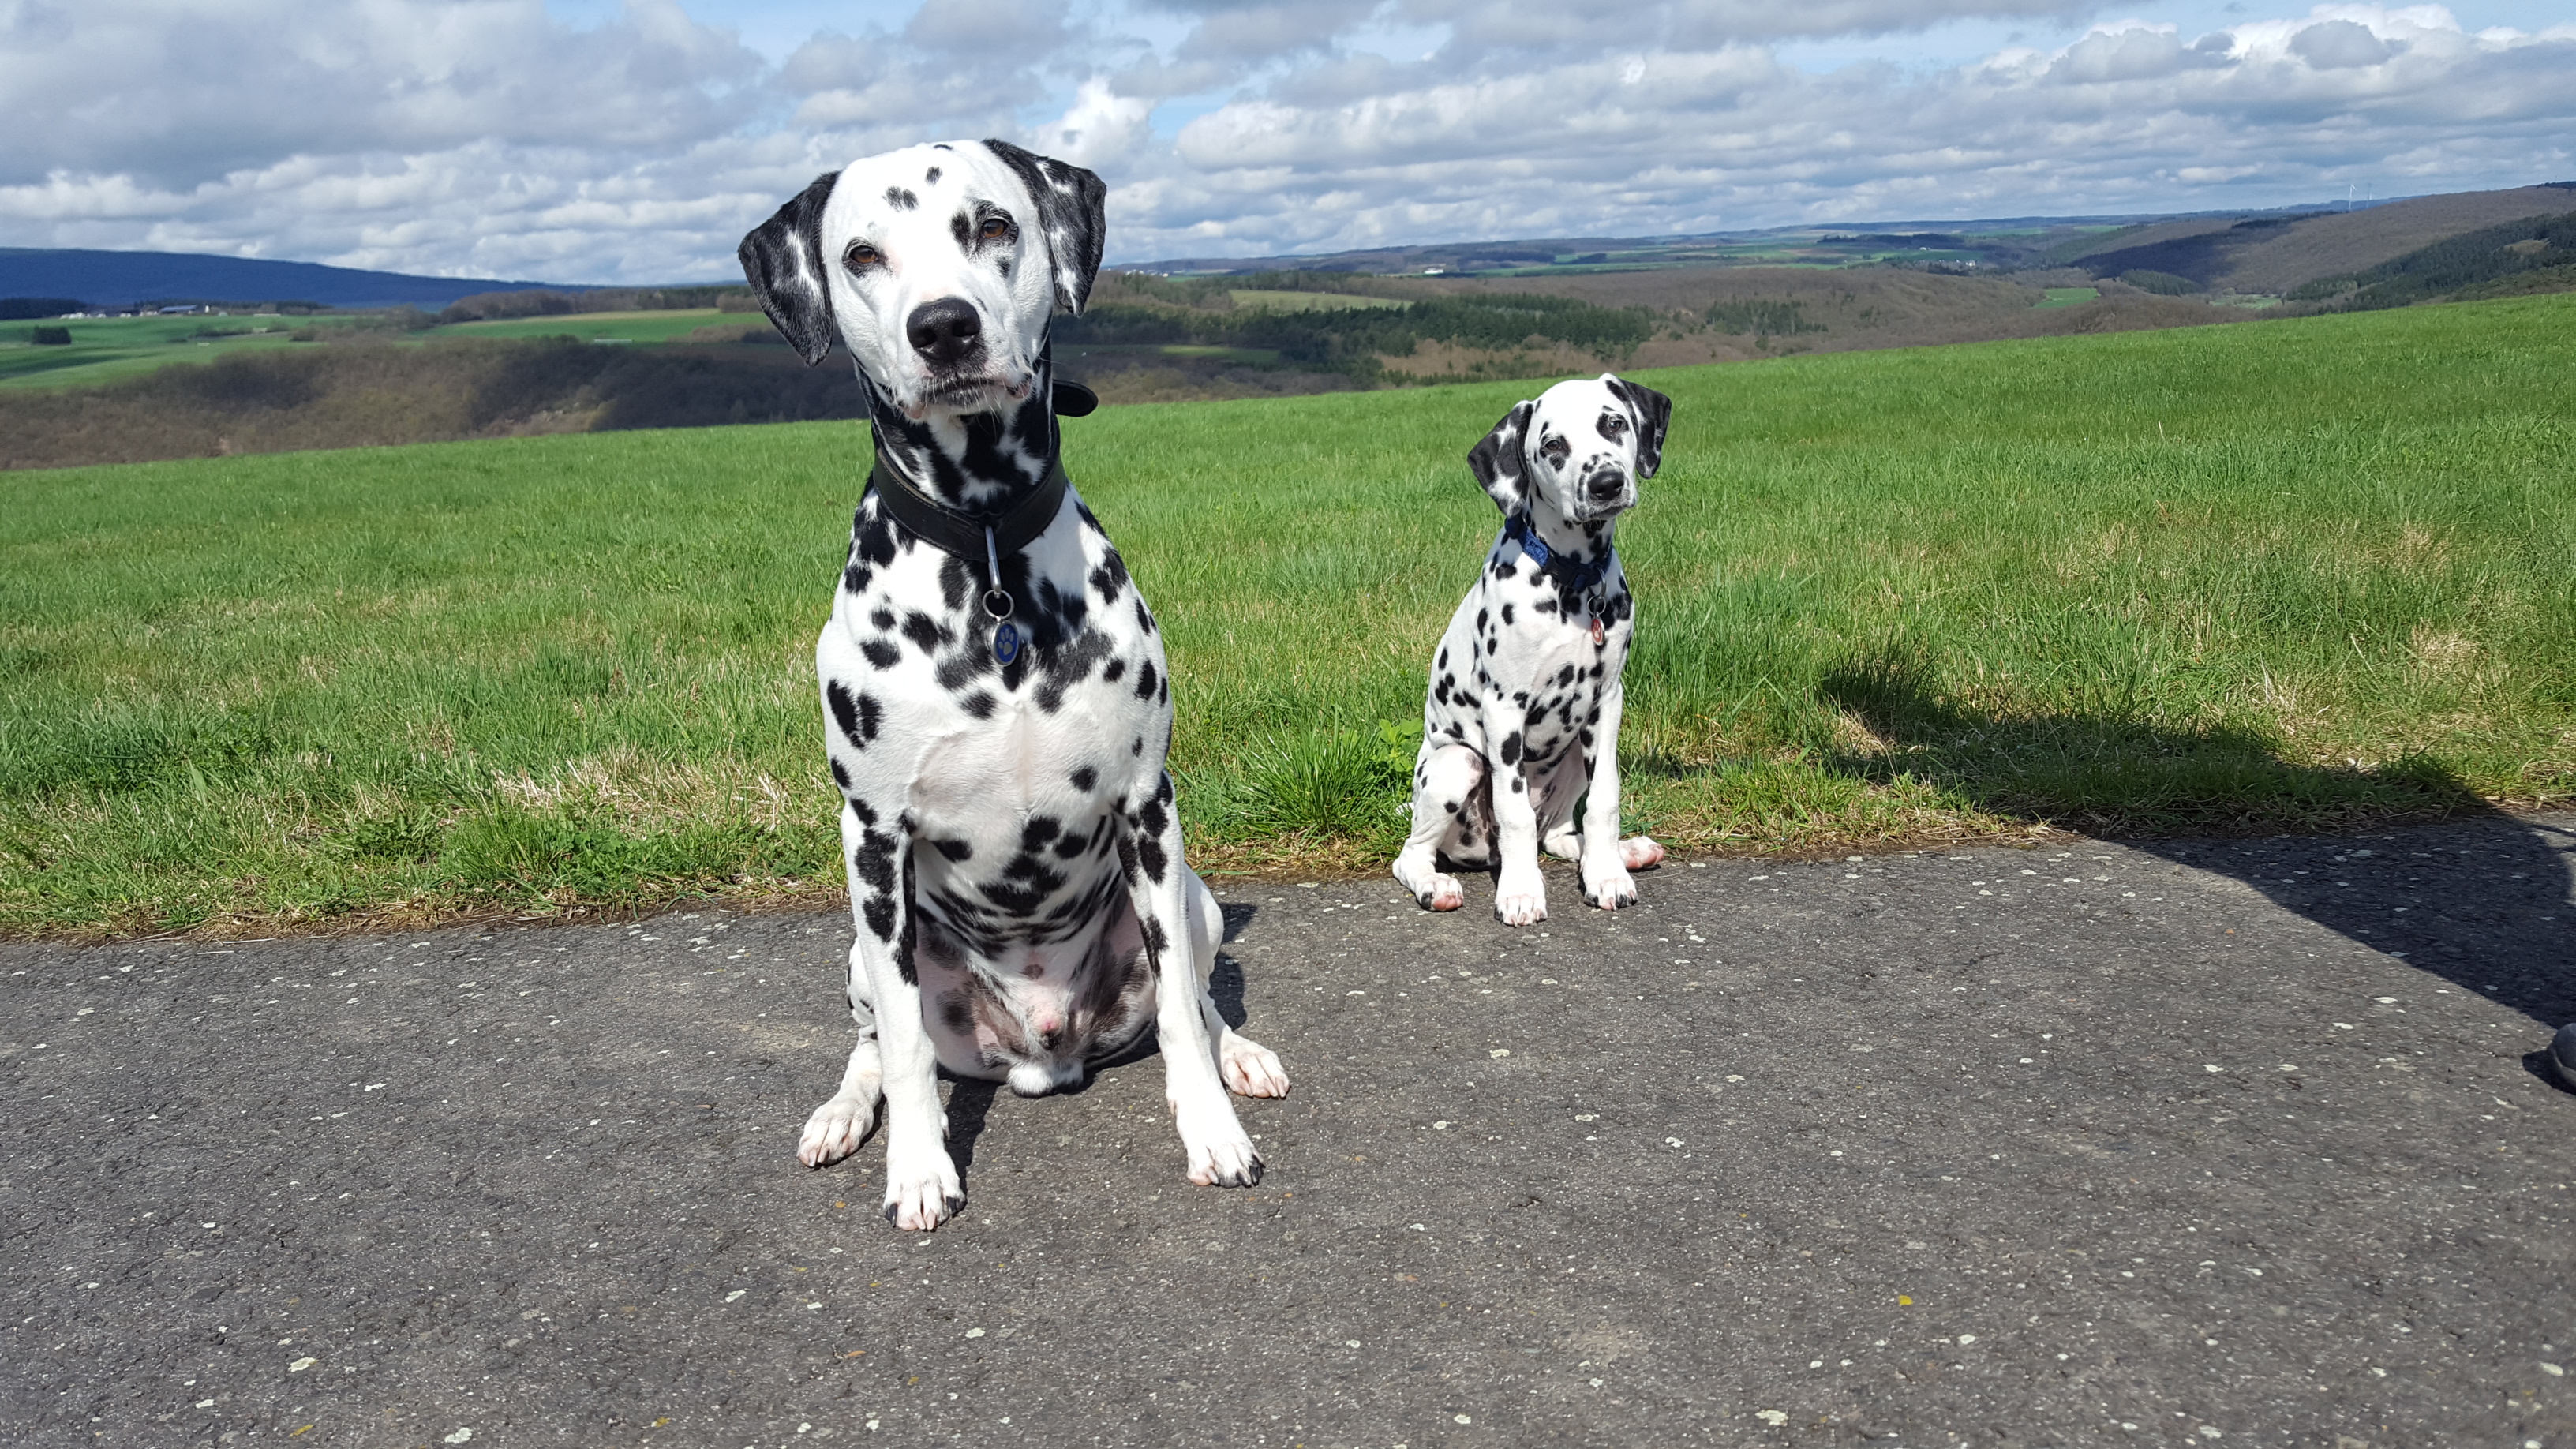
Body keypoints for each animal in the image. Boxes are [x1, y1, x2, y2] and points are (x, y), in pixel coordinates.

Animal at [736, 137, 1277, 1227]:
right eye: (861, 254)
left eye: (993, 226)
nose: (944, 327)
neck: (985, 557)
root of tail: (1041, 1052)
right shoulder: (874, 842)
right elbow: (903, 1046)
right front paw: (917, 1167)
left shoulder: (1148, 811)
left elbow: (1181, 1020)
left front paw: (1212, 1130)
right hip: (859, 949)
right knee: (871, 1041)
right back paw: (843, 1114)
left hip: (1192, 896)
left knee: (1197, 998)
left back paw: (1243, 1057)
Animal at [1401, 371, 1679, 923]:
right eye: (1552, 446)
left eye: (1613, 423)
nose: (1606, 483)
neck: (1573, 579)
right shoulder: (1504, 708)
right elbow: (1514, 815)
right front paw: (1521, 891)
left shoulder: (1606, 703)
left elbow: (1604, 802)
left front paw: (1607, 874)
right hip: (1456, 764)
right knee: (1413, 853)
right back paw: (1435, 885)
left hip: (1572, 751)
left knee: (1556, 833)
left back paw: (1624, 852)